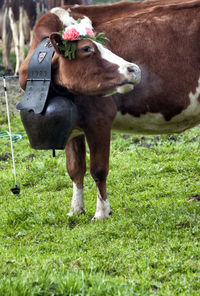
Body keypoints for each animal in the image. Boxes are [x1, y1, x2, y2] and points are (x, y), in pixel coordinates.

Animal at [19, 0, 200, 217]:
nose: (134, 69)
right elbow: (75, 168)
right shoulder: (70, 125)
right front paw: (76, 210)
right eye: (87, 48)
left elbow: (98, 169)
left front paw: (102, 212)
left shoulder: (99, 118)